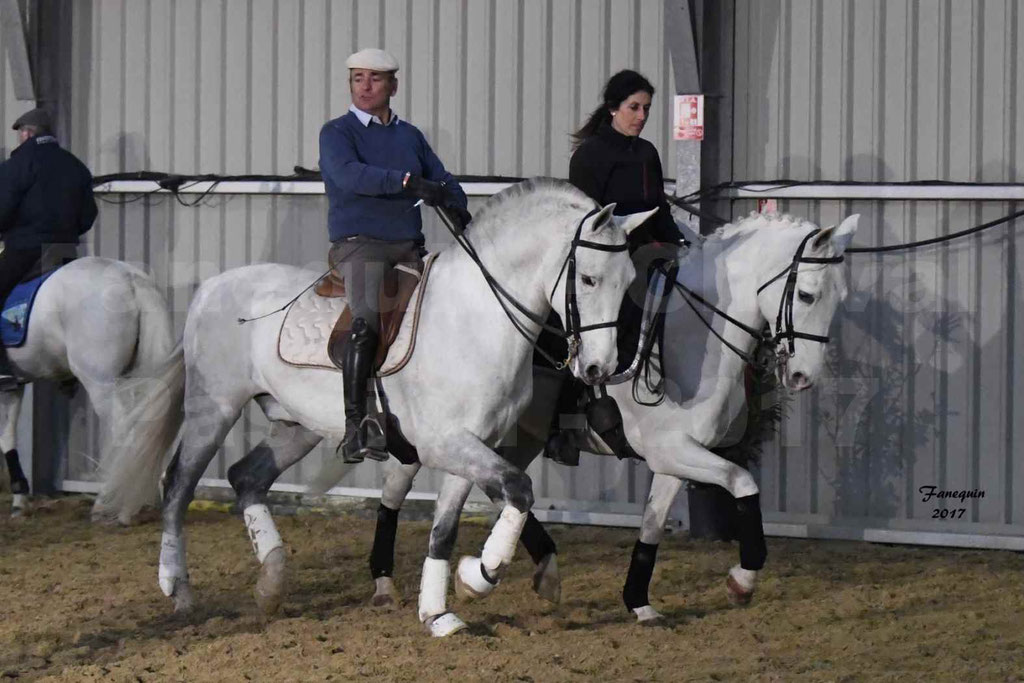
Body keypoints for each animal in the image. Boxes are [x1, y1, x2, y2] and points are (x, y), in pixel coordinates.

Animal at [0, 255, 182, 518]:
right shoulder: (14, 386)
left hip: (100, 383)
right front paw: (19, 499)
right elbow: (8, 436)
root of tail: (129, 278)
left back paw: (111, 504)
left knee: (123, 430)